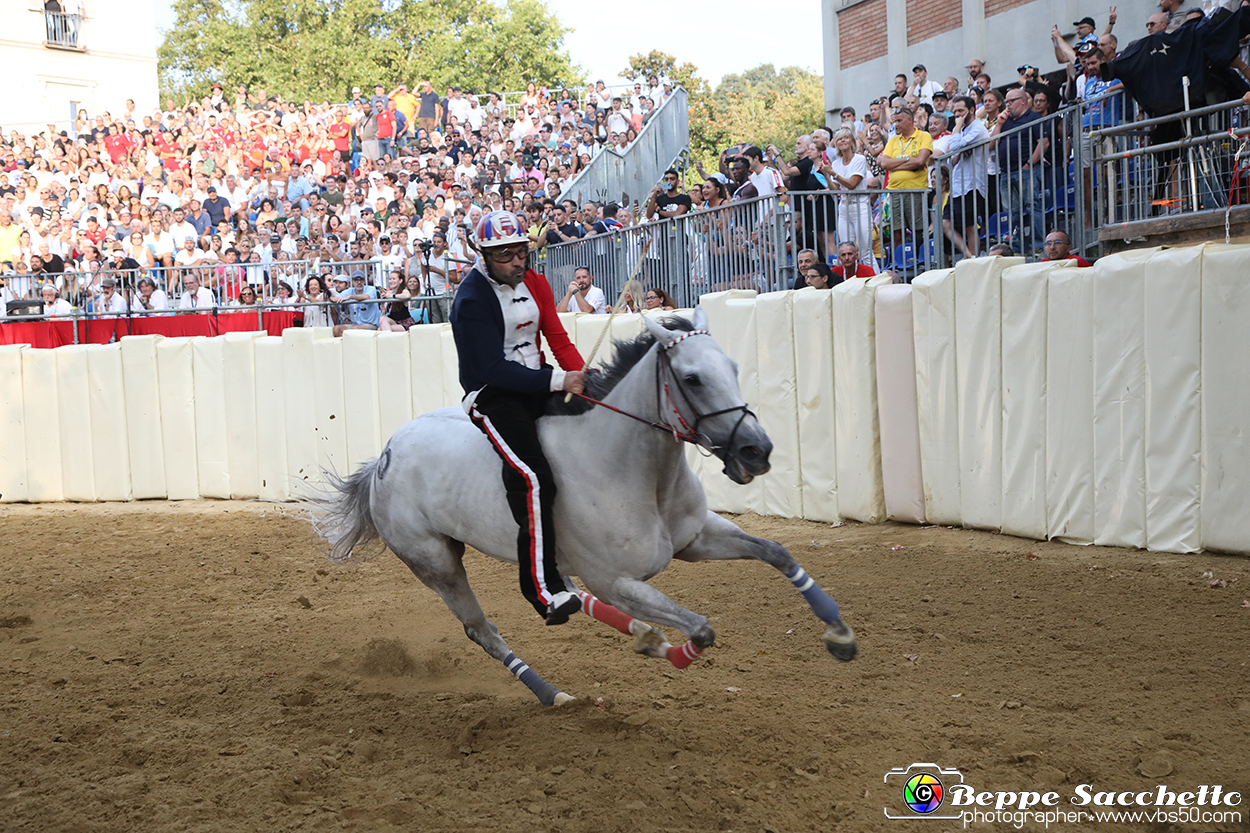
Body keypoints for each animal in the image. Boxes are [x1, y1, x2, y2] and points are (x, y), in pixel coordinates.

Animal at [310, 307, 860, 705]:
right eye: (693, 378)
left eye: (733, 368)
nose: (756, 451)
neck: (629, 468)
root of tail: (384, 457)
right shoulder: (617, 580)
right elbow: (701, 629)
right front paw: (674, 652)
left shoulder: (697, 538)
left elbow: (777, 552)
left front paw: (839, 634)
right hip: (437, 565)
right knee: (485, 630)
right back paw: (554, 692)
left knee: (568, 594)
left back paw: (637, 634)